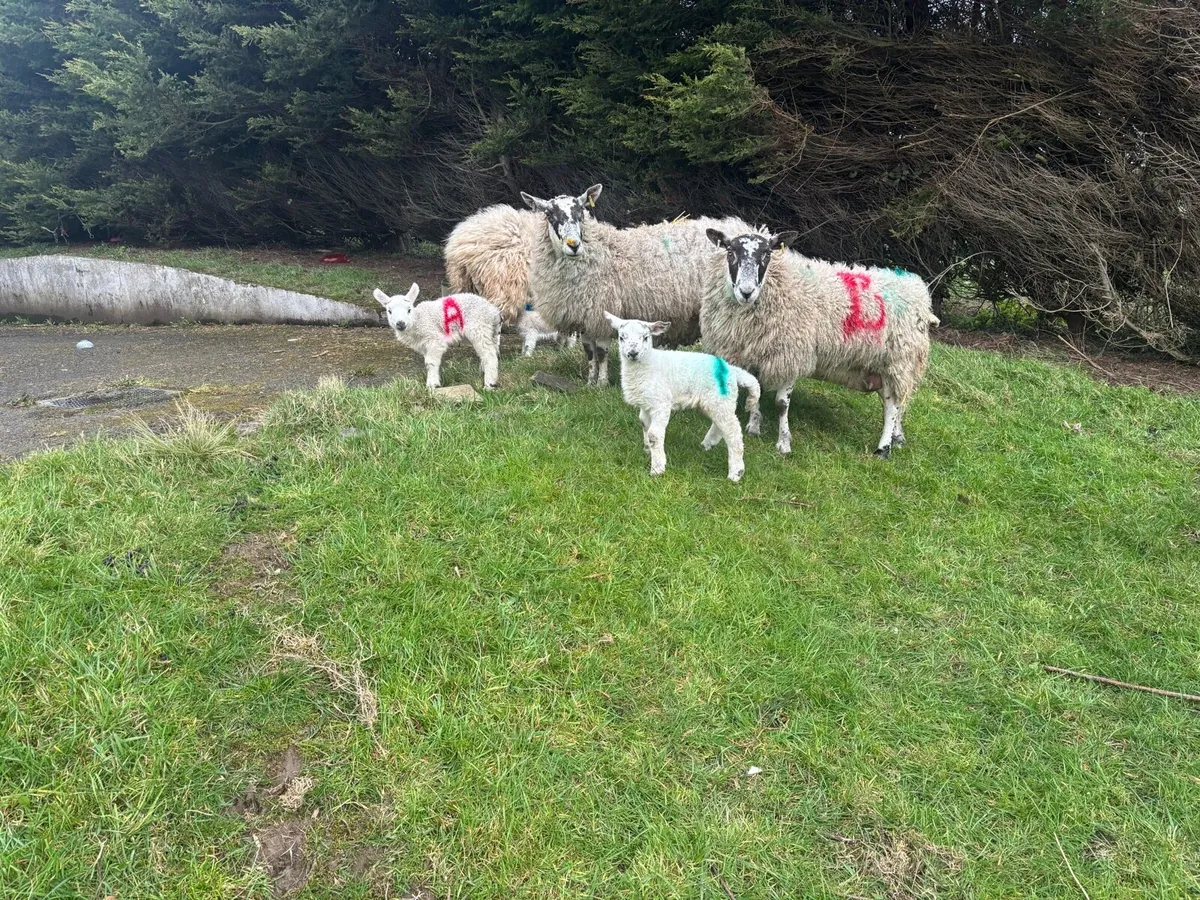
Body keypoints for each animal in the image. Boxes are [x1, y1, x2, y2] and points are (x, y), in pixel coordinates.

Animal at [521, 184, 753, 387]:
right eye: (549, 214)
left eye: (581, 212)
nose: (574, 245)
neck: (600, 251)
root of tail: (744, 226)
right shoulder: (586, 316)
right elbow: (589, 352)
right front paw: (590, 381)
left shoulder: (603, 311)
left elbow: (602, 352)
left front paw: (602, 384)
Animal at [605, 312, 761, 482]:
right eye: (621, 337)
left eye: (645, 337)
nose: (632, 353)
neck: (650, 364)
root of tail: (731, 370)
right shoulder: (646, 404)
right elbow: (644, 424)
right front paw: (647, 449)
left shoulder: (661, 403)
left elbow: (654, 435)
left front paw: (657, 468)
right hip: (716, 401)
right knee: (721, 425)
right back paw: (707, 444)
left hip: (720, 400)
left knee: (733, 432)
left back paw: (736, 472)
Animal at [700, 229, 940, 458]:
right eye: (730, 252)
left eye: (767, 254)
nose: (746, 292)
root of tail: (918, 289)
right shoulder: (751, 351)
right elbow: (755, 389)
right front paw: (754, 425)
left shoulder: (793, 354)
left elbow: (782, 405)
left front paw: (784, 443)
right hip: (882, 367)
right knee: (899, 404)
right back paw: (898, 437)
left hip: (898, 361)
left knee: (892, 406)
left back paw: (883, 448)